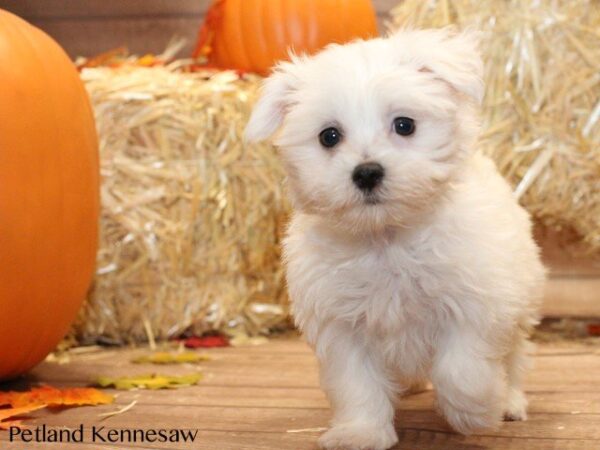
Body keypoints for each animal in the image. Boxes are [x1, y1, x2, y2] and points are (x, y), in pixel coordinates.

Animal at [246, 28, 548, 450]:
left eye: (405, 125)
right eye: (329, 136)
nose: (366, 173)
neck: (386, 239)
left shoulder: (478, 305)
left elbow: (462, 371)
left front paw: (477, 411)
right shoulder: (342, 325)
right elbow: (356, 384)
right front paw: (361, 432)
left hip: (522, 296)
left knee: (516, 356)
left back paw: (510, 400)